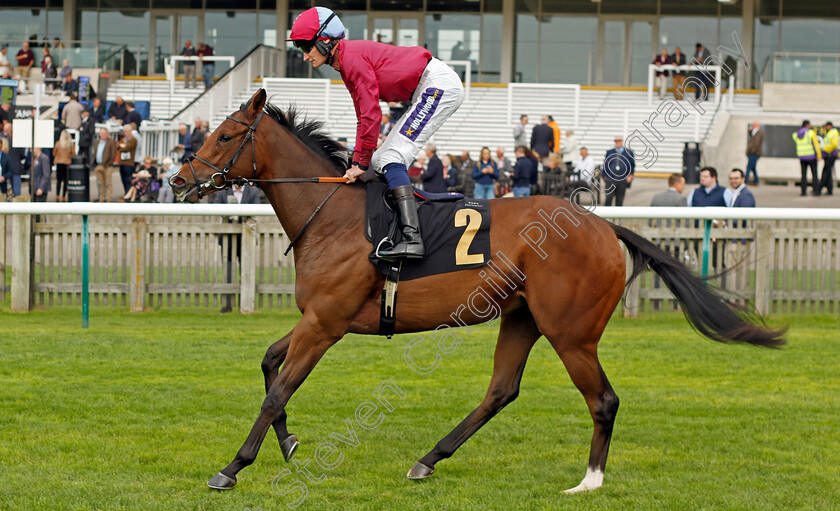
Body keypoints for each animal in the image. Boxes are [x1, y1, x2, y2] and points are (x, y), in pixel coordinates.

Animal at [171, 90, 788, 494]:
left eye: (226, 135)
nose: (178, 180)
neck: (333, 215)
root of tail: (604, 226)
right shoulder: (318, 319)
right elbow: (268, 365)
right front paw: (289, 443)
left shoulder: (326, 323)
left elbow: (278, 389)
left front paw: (232, 467)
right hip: (521, 318)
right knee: (500, 391)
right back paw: (428, 459)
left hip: (571, 332)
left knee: (603, 400)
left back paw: (588, 482)